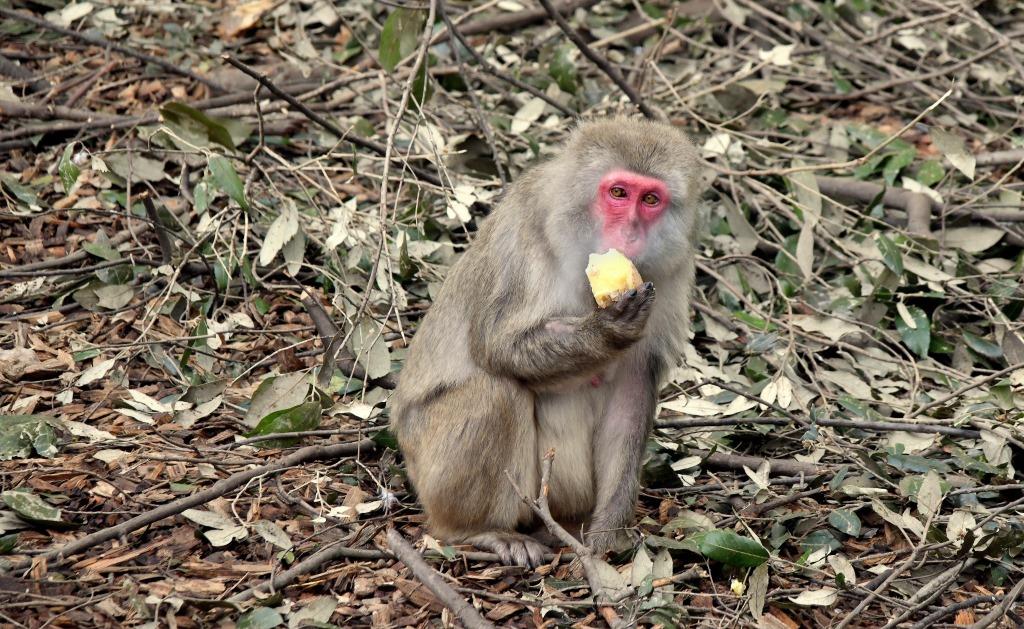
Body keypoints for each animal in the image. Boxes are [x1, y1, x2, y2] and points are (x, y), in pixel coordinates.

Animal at [391, 117, 704, 565]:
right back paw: (477, 529)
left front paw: (608, 534)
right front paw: (607, 331)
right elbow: (498, 347)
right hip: (430, 468)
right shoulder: (527, 240)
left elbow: (630, 393)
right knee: (496, 392)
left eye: (650, 199)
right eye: (618, 193)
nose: (630, 232)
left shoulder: (671, 277)